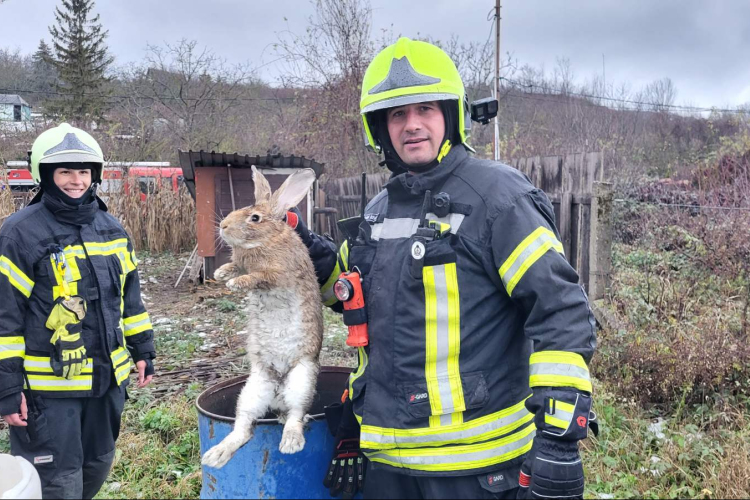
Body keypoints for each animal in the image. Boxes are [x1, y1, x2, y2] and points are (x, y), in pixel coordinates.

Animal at [201, 167, 324, 468]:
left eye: (254, 218)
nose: (223, 227)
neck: (266, 238)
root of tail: (278, 389)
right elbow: (236, 265)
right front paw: (222, 273)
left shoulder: (278, 275)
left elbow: (258, 277)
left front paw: (236, 283)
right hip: (253, 390)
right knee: (244, 427)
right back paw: (215, 456)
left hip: (302, 380)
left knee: (295, 415)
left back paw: (290, 443)